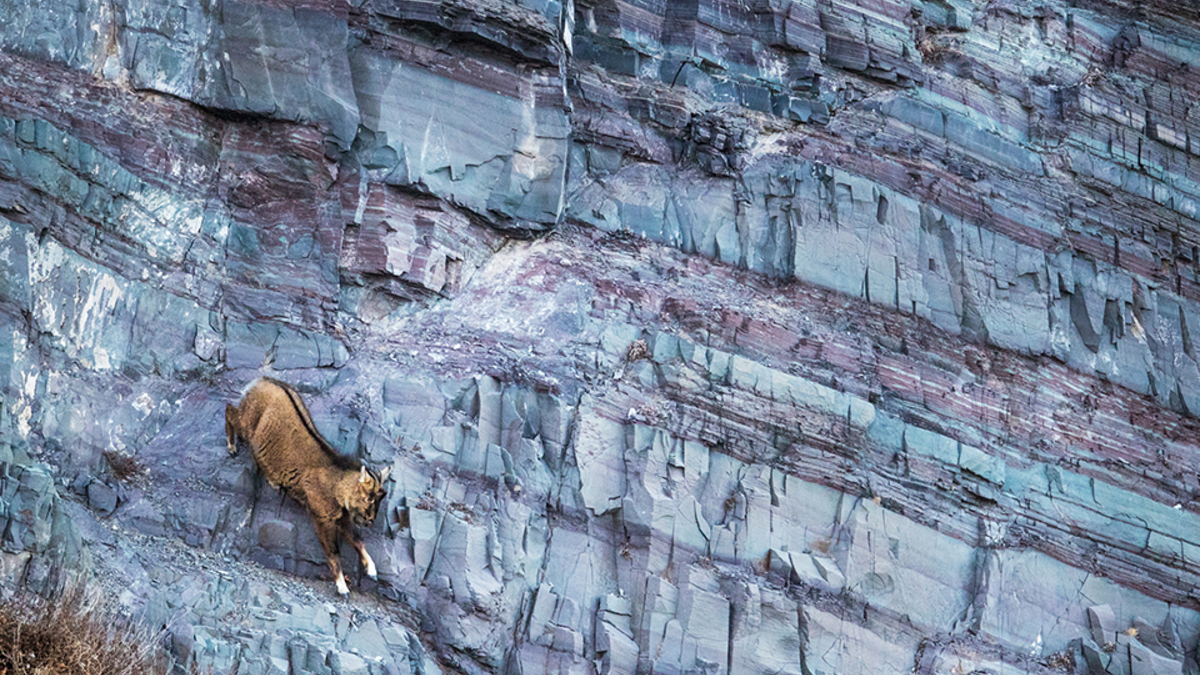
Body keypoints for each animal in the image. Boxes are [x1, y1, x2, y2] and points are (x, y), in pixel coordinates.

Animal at [225, 374, 388, 590]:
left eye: (380, 499)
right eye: (368, 498)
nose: (370, 521)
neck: (336, 484)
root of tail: (262, 380)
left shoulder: (342, 517)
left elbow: (357, 540)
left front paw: (372, 569)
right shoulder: (322, 516)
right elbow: (333, 551)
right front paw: (342, 586)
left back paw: (274, 481)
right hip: (248, 421)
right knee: (229, 410)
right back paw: (231, 446)